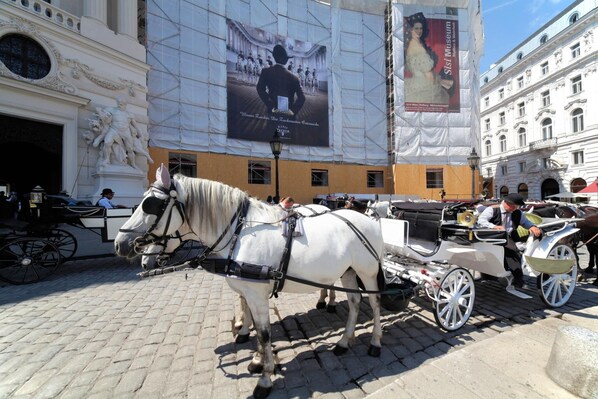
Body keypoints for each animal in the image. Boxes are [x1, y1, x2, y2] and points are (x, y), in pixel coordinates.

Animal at [116, 166, 390, 399]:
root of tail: (369, 219)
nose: (120, 244)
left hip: (366, 271)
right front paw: (256, 359)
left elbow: (265, 332)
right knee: (354, 301)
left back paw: (375, 342)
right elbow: (256, 328)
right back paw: (344, 341)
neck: (239, 232)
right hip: (348, 271)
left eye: (150, 205)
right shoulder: (248, 289)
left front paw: (265, 379)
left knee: (375, 301)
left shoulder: (257, 293)